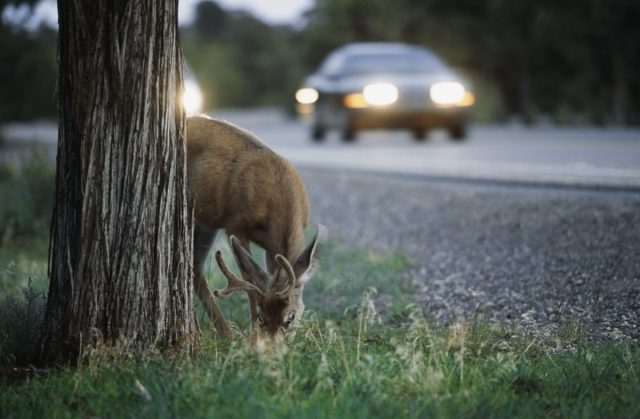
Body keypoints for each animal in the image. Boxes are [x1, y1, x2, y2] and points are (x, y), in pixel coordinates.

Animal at [187, 115, 325, 343]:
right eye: (261, 316)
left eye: (290, 318)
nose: (274, 346)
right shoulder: (236, 225)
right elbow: (249, 280)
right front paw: (253, 336)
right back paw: (223, 333)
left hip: (207, 221)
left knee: (195, 266)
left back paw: (221, 333)